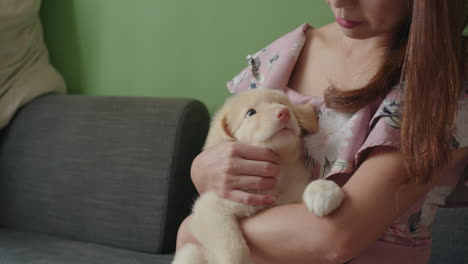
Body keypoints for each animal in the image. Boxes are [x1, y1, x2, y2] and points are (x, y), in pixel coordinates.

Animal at [172, 89, 344, 264]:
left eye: (283, 103)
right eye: (251, 113)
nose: (284, 112)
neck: (278, 177)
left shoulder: (290, 201)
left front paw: (324, 190)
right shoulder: (211, 207)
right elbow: (234, 250)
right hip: (190, 253)